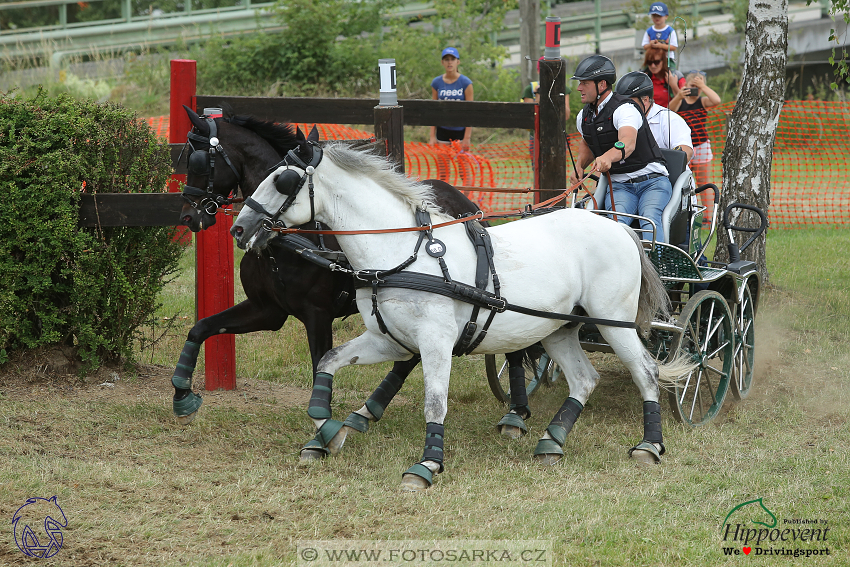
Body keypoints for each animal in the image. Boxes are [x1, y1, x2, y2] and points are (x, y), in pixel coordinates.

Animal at [171, 107, 528, 458]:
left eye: (196, 161)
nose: (188, 214)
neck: (291, 242)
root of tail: (465, 202)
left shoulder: (317, 315)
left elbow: (318, 364)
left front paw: (320, 435)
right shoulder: (267, 310)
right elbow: (201, 328)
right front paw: (183, 397)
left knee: (514, 345)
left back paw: (515, 413)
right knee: (411, 357)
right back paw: (367, 412)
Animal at [230, 143, 688, 492]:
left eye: (282, 181)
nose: (238, 228)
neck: (403, 255)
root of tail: (619, 228)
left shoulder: (435, 341)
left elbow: (435, 401)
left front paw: (427, 465)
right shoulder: (386, 340)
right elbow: (327, 362)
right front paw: (327, 432)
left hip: (613, 322)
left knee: (645, 371)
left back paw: (649, 446)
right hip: (558, 328)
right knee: (583, 379)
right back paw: (552, 442)